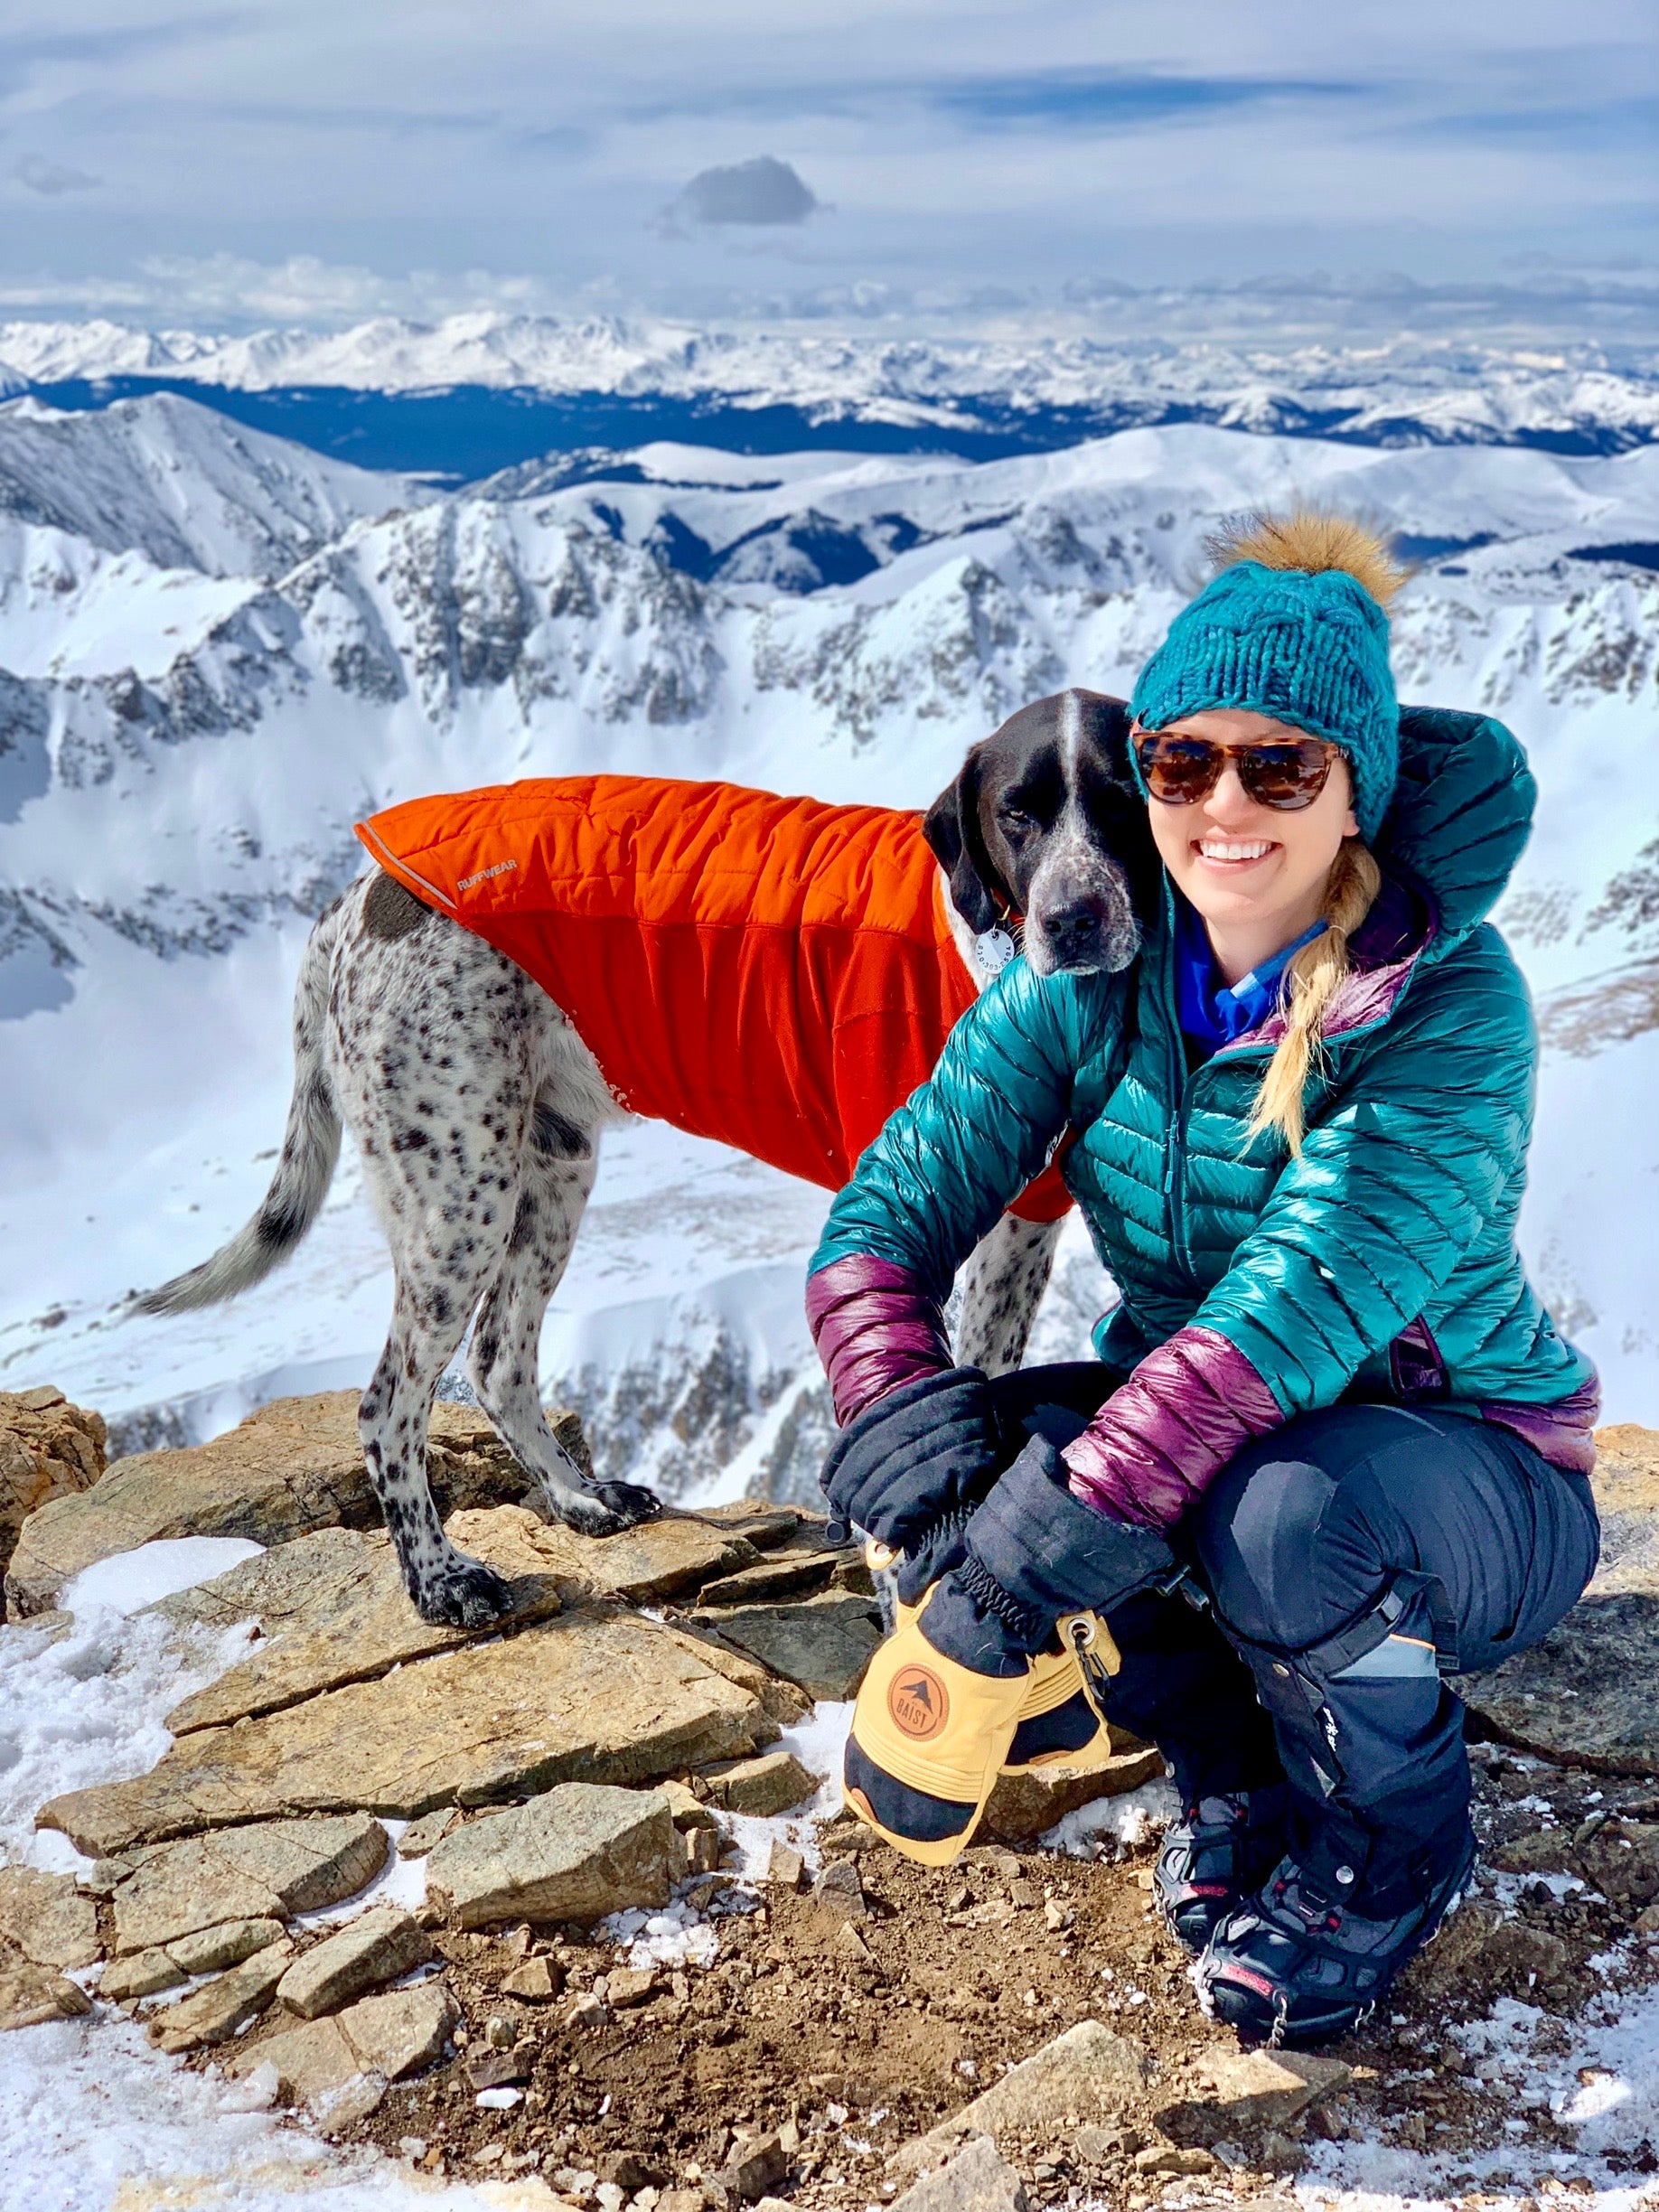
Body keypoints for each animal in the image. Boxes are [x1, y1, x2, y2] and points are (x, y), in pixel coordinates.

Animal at [139, 680, 1158, 1618]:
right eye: (1017, 813)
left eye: (1126, 800)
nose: (1074, 919)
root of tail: (355, 903)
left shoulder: (1023, 1230)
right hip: (458, 1200)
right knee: (389, 1403)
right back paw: (441, 1580)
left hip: (550, 1173)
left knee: (499, 1359)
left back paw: (580, 1499)